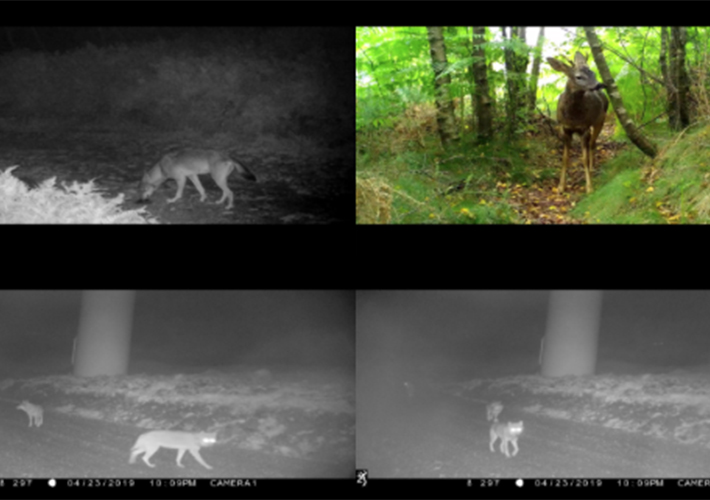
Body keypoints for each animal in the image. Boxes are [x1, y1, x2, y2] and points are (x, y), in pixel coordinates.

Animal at [548, 51, 608, 193]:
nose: (599, 85)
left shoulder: (583, 128)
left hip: (600, 119)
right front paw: (561, 187)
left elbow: (584, 159)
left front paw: (589, 187)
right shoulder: (564, 128)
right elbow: (564, 159)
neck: (573, 117)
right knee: (592, 141)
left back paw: (592, 168)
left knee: (592, 143)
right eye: (579, 77)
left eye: (593, 73)